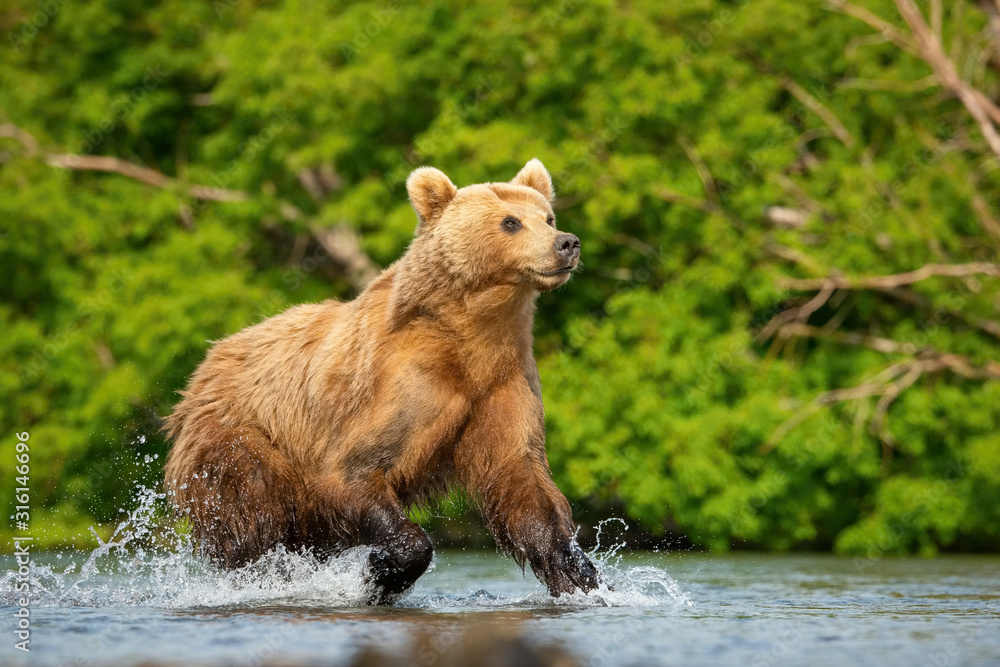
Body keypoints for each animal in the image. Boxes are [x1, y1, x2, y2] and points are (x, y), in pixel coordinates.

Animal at [163, 159, 600, 604]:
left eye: (547, 217)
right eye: (510, 222)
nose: (567, 242)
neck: (472, 337)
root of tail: (206, 364)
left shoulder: (504, 384)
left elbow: (521, 478)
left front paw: (581, 575)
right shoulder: (397, 386)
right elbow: (354, 471)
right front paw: (380, 572)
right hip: (241, 435)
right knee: (252, 502)